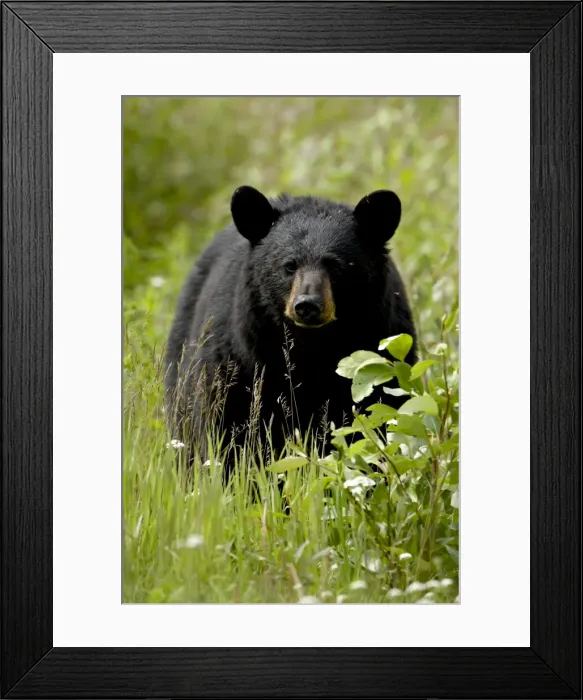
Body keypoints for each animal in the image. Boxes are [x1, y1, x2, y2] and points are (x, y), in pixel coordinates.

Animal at [164, 185, 417, 474]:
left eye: (337, 266)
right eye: (289, 265)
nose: (307, 305)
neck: (310, 347)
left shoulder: (380, 345)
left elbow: (378, 414)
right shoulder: (237, 360)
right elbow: (225, 425)